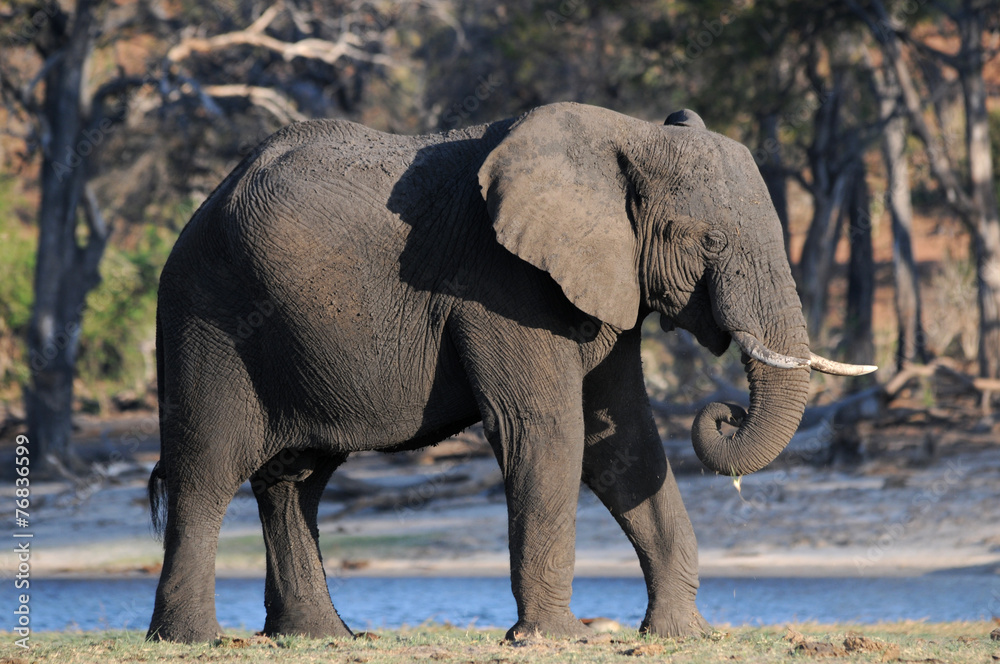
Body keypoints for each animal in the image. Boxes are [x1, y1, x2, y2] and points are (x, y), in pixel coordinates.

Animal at [145, 102, 874, 643]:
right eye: (710, 241)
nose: (724, 413)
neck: (626, 135)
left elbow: (623, 439)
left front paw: (684, 637)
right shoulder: (501, 284)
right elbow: (546, 429)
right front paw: (558, 640)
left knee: (296, 480)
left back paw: (322, 639)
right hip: (206, 316)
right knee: (207, 470)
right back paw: (194, 640)